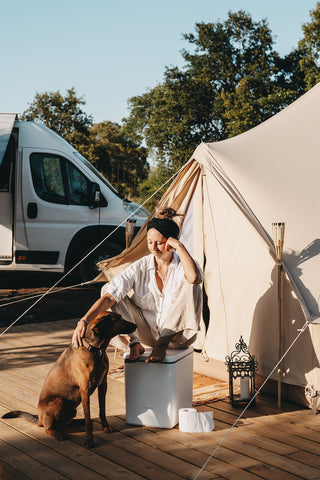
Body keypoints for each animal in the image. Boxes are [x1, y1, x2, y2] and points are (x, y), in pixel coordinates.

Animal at [2, 312, 136, 446]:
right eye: (119, 319)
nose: (135, 325)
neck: (95, 350)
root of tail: (39, 418)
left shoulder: (103, 384)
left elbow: (102, 410)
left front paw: (105, 426)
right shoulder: (85, 389)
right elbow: (88, 417)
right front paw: (89, 441)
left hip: (72, 409)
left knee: (66, 423)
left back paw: (78, 421)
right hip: (59, 401)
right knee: (48, 428)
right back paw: (57, 433)